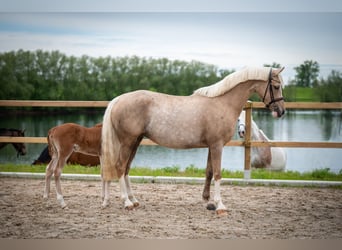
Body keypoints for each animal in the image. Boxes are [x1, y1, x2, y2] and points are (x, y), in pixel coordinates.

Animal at [101, 66, 286, 215]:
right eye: (276, 86)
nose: (281, 111)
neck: (222, 103)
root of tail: (118, 99)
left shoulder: (212, 146)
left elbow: (209, 172)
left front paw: (208, 200)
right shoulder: (217, 145)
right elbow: (218, 173)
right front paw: (220, 205)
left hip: (135, 141)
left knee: (126, 168)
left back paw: (133, 200)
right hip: (128, 141)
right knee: (120, 166)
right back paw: (126, 202)